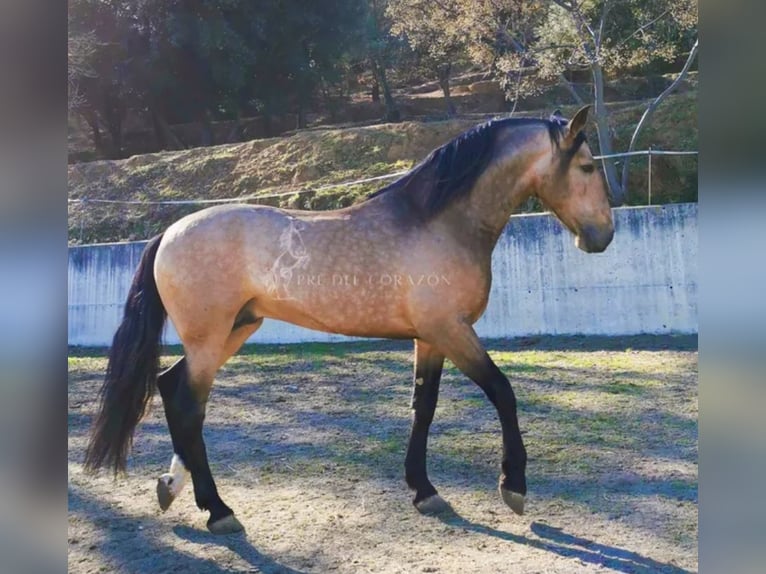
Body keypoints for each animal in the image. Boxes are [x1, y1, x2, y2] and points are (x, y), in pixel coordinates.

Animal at [84, 107, 616, 536]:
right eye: (588, 166)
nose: (603, 236)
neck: (436, 222)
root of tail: (169, 232)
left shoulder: (430, 338)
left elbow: (423, 407)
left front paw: (424, 491)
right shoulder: (451, 329)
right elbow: (502, 391)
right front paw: (513, 486)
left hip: (234, 331)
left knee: (172, 388)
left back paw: (172, 487)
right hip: (210, 338)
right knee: (187, 406)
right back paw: (218, 511)